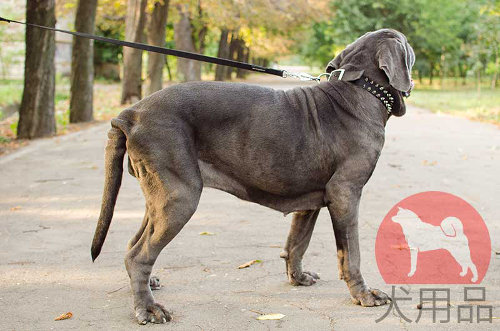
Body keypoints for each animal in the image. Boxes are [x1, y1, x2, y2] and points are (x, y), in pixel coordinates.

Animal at [92, 29, 416, 326]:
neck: (360, 89)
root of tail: (131, 113)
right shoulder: (345, 193)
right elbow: (350, 252)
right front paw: (364, 295)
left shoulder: (310, 200)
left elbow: (297, 242)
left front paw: (298, 277)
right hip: (180, 198)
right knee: (139, 255)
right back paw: (148, 309)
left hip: (160, 196)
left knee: (133, 245)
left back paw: (148, 287)